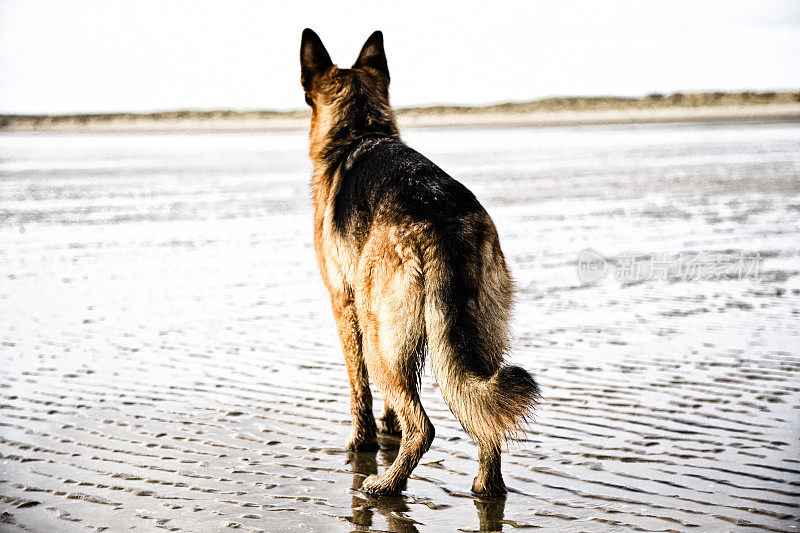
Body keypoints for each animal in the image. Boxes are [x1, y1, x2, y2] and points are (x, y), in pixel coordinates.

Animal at [300, 28, 536, 494]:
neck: (360, 131)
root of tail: (438, 221)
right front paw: (387, 428)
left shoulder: (344, 305)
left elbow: (359, 390)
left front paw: (362, 443)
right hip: (477, 342)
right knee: (486, 416)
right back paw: (485, 487)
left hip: (379, 335)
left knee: (424, 426)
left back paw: (386, 485)